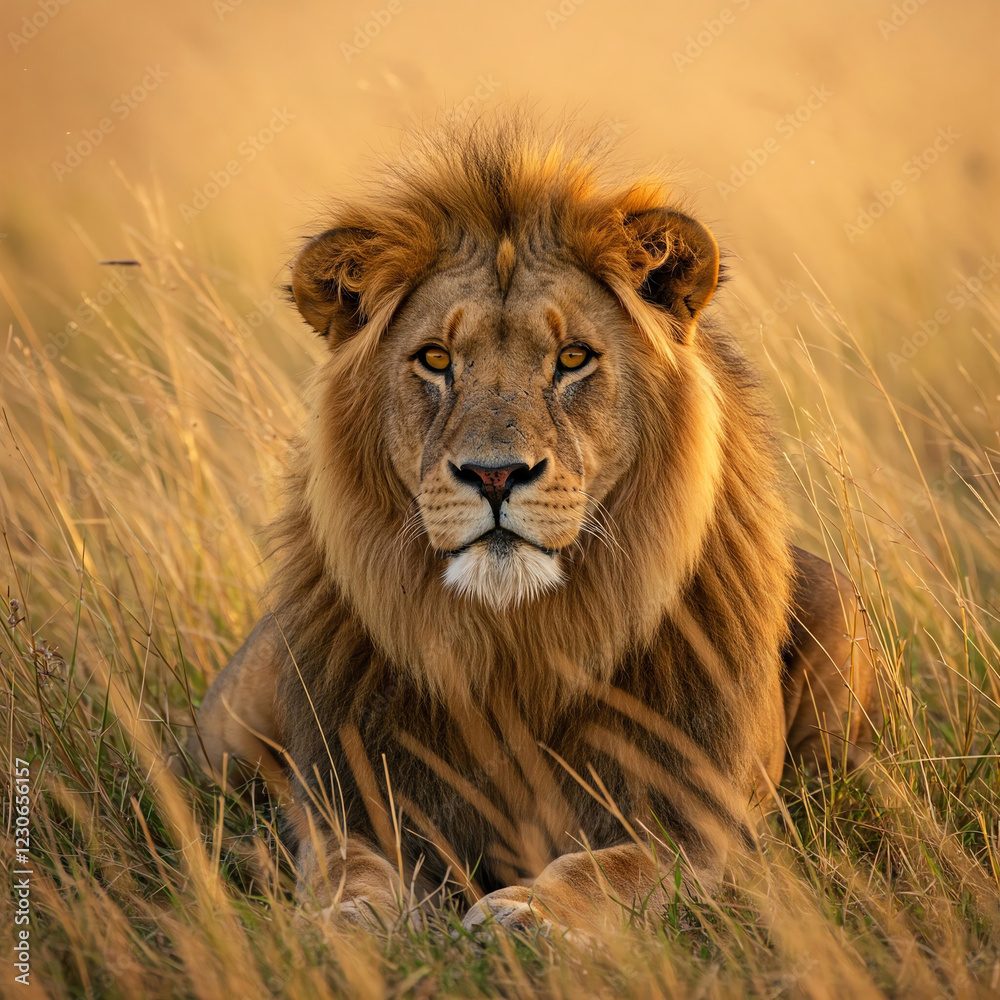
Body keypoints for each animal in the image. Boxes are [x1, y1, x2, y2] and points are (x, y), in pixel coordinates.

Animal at [187, 115, 881, 934]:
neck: (513, 641)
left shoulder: (706, 829)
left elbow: (606, 869)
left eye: (573, 357)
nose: (494, 475)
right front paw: (347, 924)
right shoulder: (349, 803)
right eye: (435, 359)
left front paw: (526, 916)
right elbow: (350, 869)